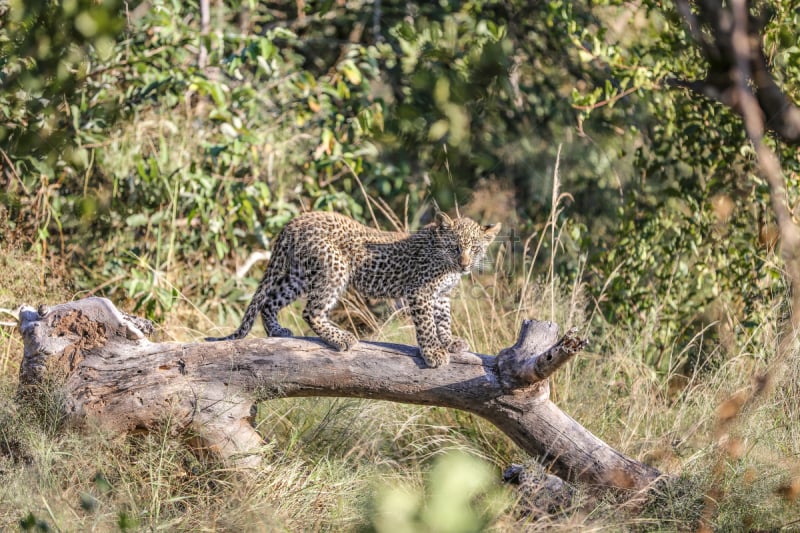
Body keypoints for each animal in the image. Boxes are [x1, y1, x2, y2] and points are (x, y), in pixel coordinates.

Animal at [209, 210, 504, 368]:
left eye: (475, 248)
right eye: (455, 247)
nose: (465, 264)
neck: (447, 267)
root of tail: (295, 221)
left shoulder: (441, 295)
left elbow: (443, 321)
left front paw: (450, 342)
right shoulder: (420, 292)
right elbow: (427, 325)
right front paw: (433, 352)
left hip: (299, 275)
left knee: (271, 300)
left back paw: (277, 331)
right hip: (333, 267)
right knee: (311, 311)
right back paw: (341, 338)